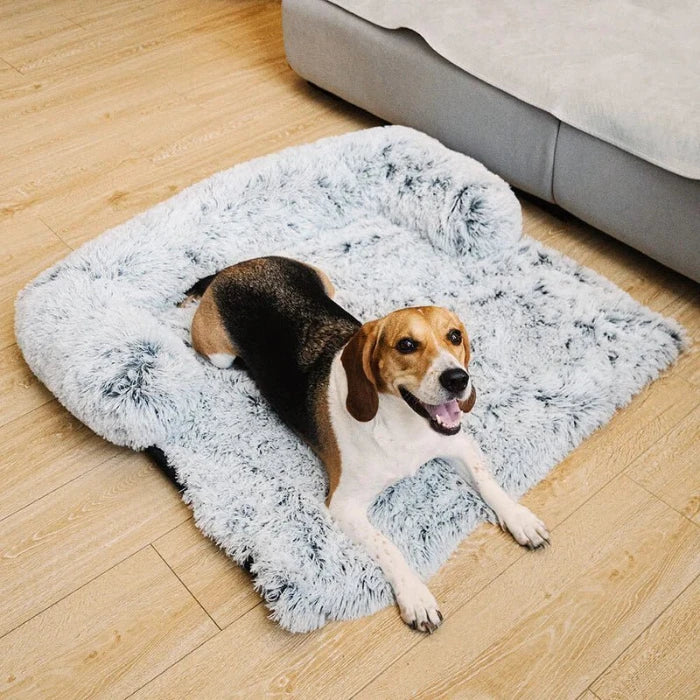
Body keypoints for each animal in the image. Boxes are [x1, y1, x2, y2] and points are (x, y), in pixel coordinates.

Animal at [193, 258, 552, 636]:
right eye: (406, 344)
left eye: (454, 336)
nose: (458, 379)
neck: (403, 426)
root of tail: (233, 268)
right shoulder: (344, 506)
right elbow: (389, 547)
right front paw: (416, 596)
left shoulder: (459, 444)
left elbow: (488, 482)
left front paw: (520, 518)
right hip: (218, 355)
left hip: (327, 284)